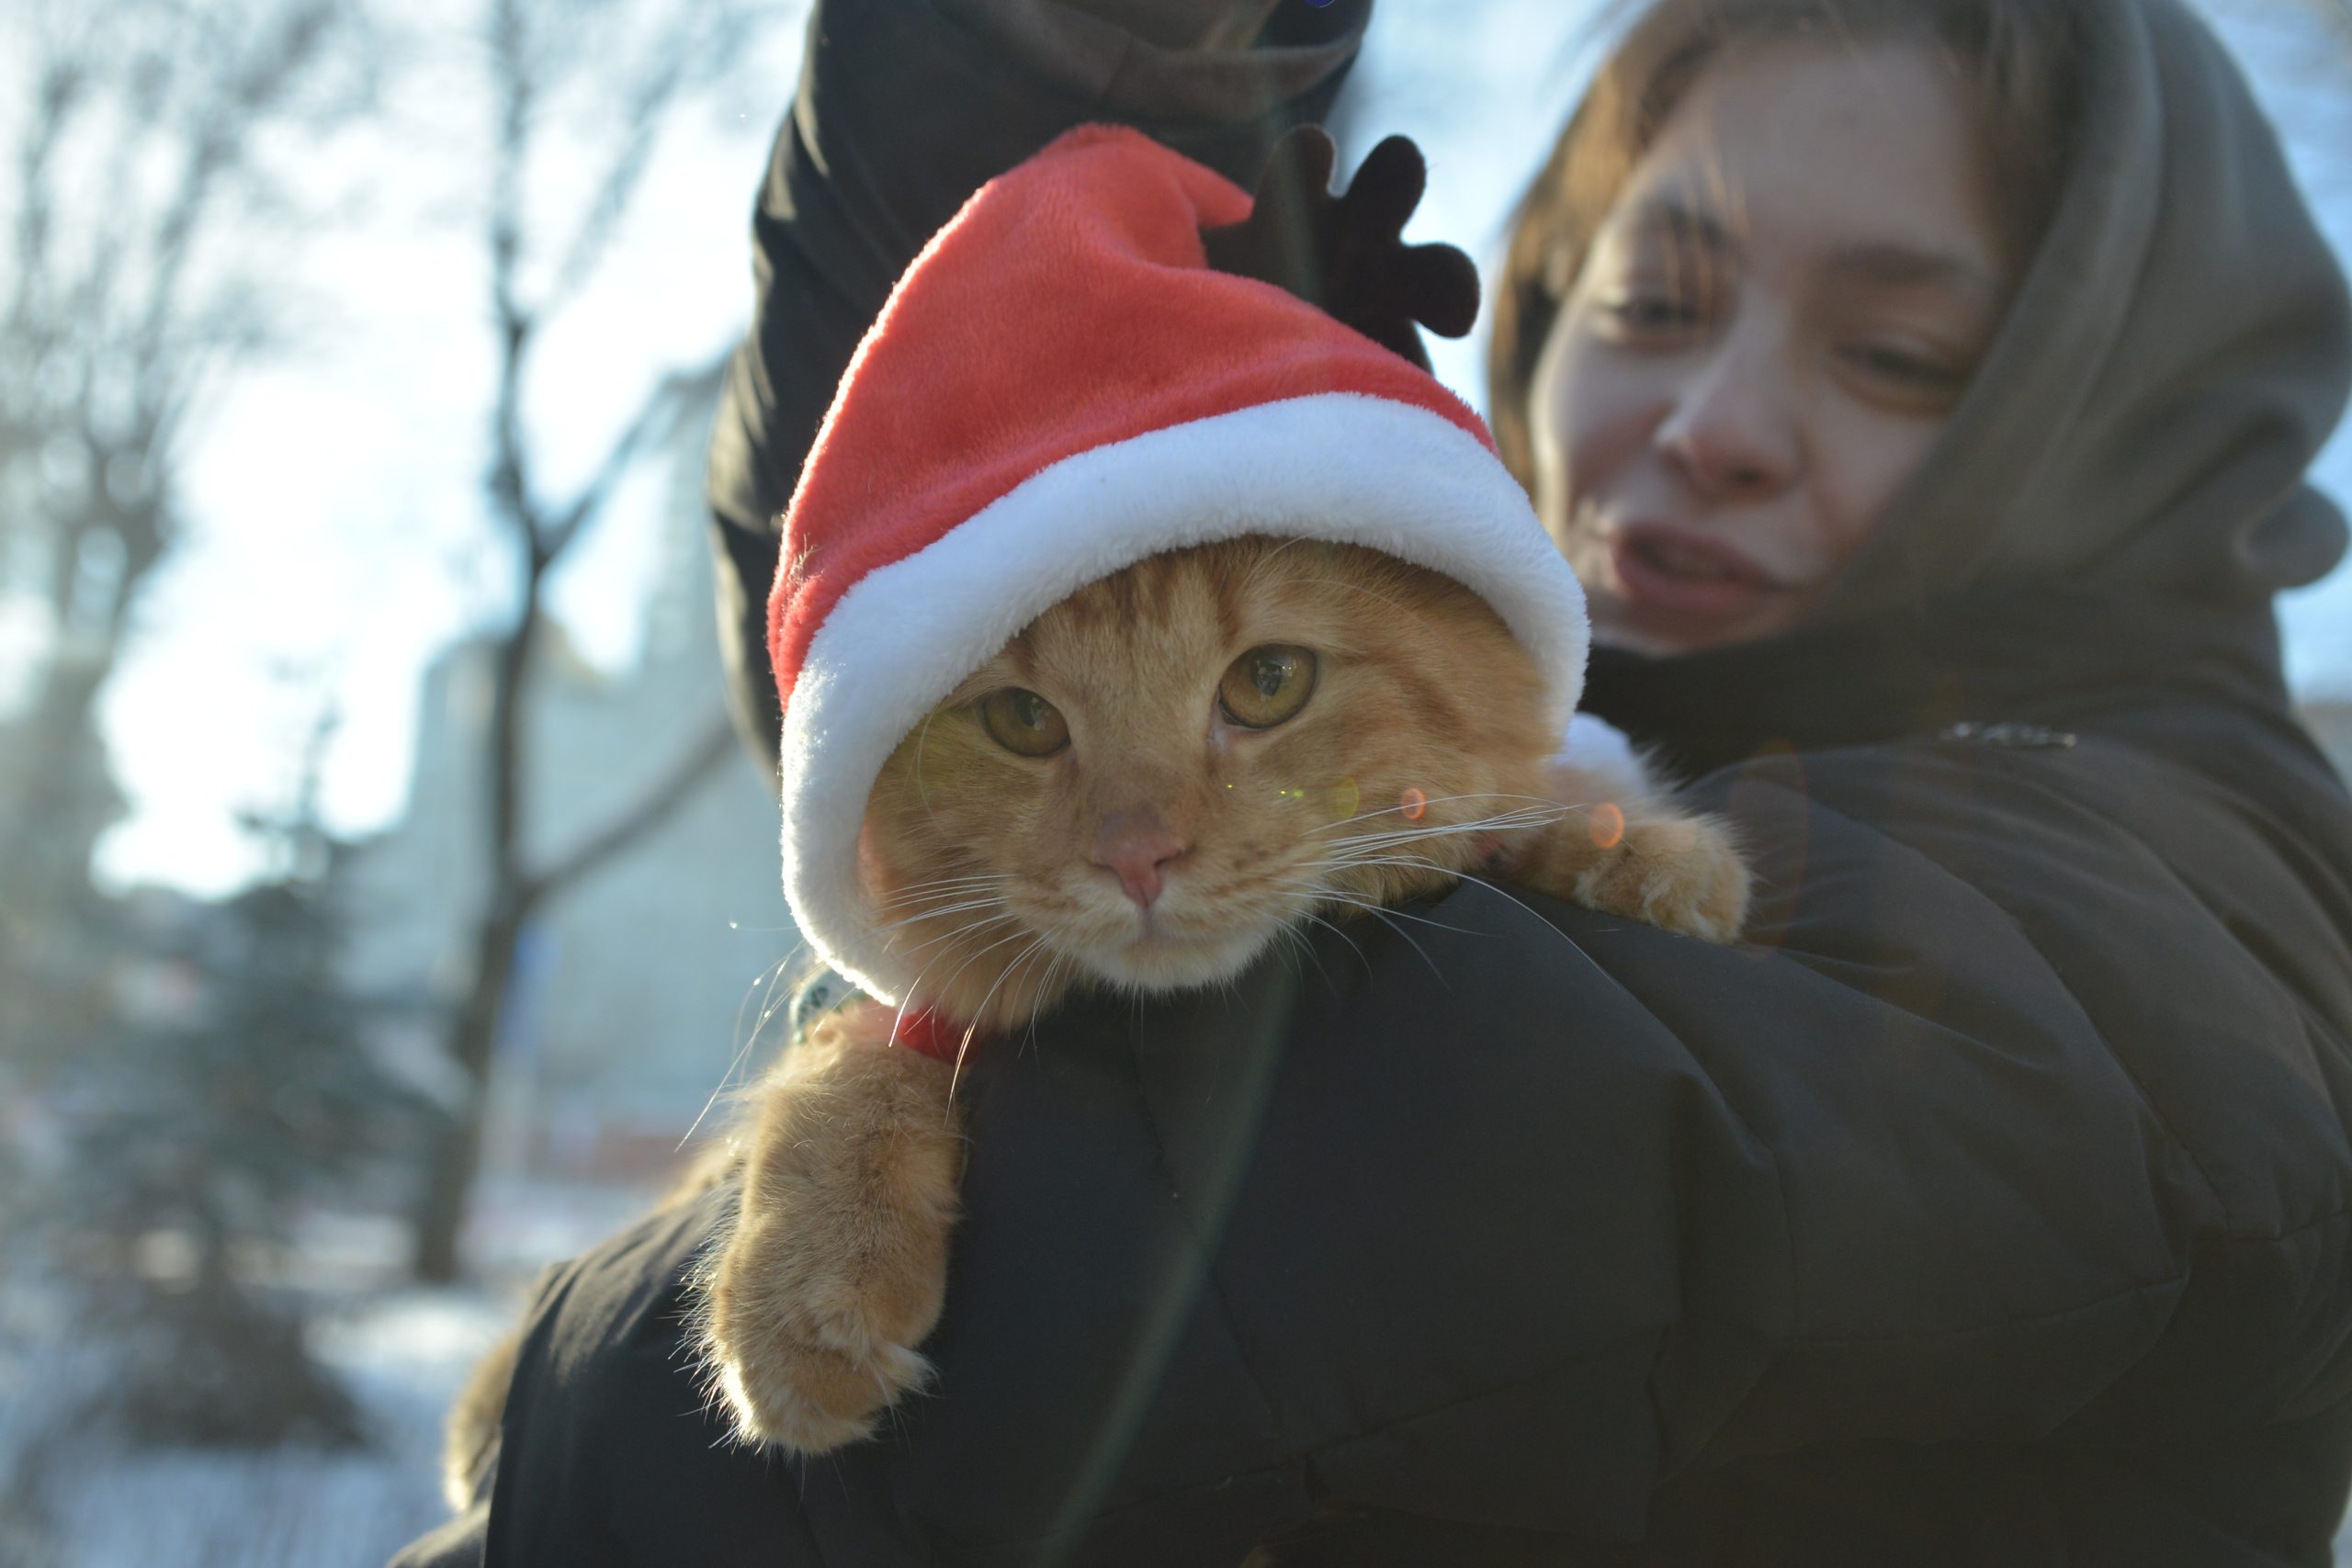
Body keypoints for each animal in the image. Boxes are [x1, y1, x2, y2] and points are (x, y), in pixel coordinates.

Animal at [695, 540, 1749, 1457]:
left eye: (1268, 682)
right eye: (1024, 720)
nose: (1136, 857)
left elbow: (1515, 813)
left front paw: (1637, 851)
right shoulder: (894, 1000)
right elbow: (845, 1068)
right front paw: (805, 1276)